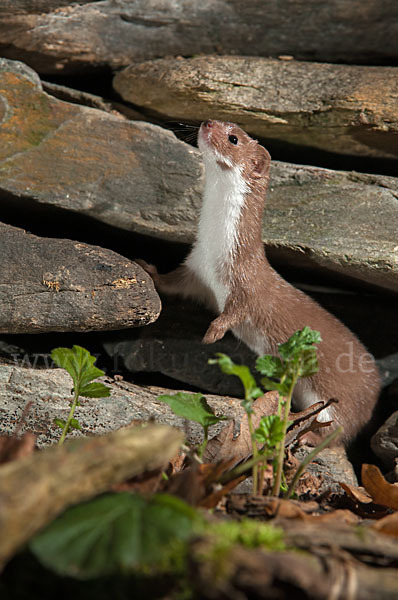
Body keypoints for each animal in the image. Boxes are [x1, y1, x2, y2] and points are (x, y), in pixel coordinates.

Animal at [138, 119, 380, 446]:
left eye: (233, 138)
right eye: (219, 119)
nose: (206, 122)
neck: (215, 252)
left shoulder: (246, 283)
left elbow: (236, 310)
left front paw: (212, 333)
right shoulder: (196, 270)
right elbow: (172, 283)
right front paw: (148, 269)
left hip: (340, 401)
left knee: (337, 431)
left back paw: (307, 437)